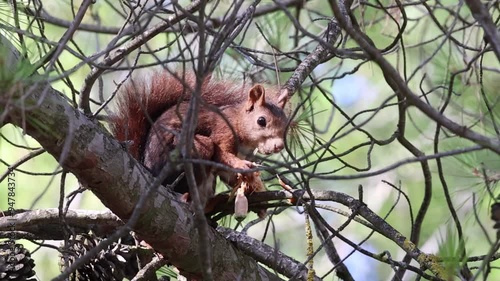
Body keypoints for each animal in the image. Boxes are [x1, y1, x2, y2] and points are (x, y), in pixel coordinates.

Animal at [111, 71, 288, 208]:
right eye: (261, 121)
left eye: (286, 123)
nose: (279, 146)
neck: (238, 121)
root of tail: (149, 169)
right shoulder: (223, 128)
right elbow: (222, 155)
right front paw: (242, 166)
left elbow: (227, 174)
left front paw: (255, 187)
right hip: (183, 151)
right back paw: (186, 197)